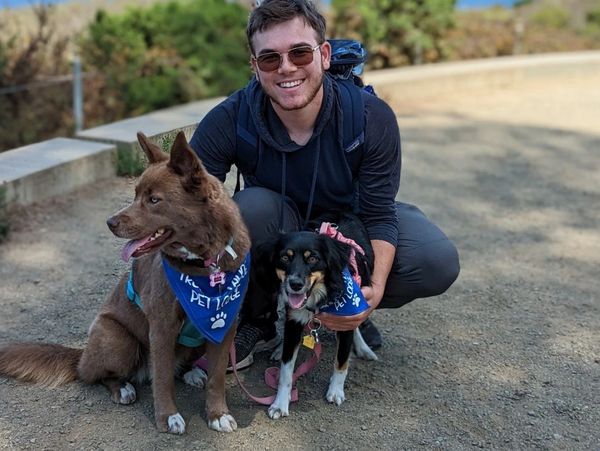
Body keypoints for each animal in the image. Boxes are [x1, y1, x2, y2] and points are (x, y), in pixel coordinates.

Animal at [0, 132, 251, 436]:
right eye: (135, 195)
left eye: (154, 199)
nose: (109, 222)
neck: (204, 264)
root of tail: (82, 355)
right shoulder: (162, 326)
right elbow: (162, 378)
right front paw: (168, 417)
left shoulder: (224, 325)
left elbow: (216, 377)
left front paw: (218, 414)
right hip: (119, 340)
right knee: (95, 375)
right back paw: (123, 388)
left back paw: (191, 372)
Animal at [254, 213, 378, 420]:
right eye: (285, 257)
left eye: (312, 258)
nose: (295, 284)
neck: (320, 295)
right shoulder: (294, 319)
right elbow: (286, 370)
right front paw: (280, 403)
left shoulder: (346, 319)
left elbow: (341, 361)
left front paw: (335, 391)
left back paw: (364, 348)